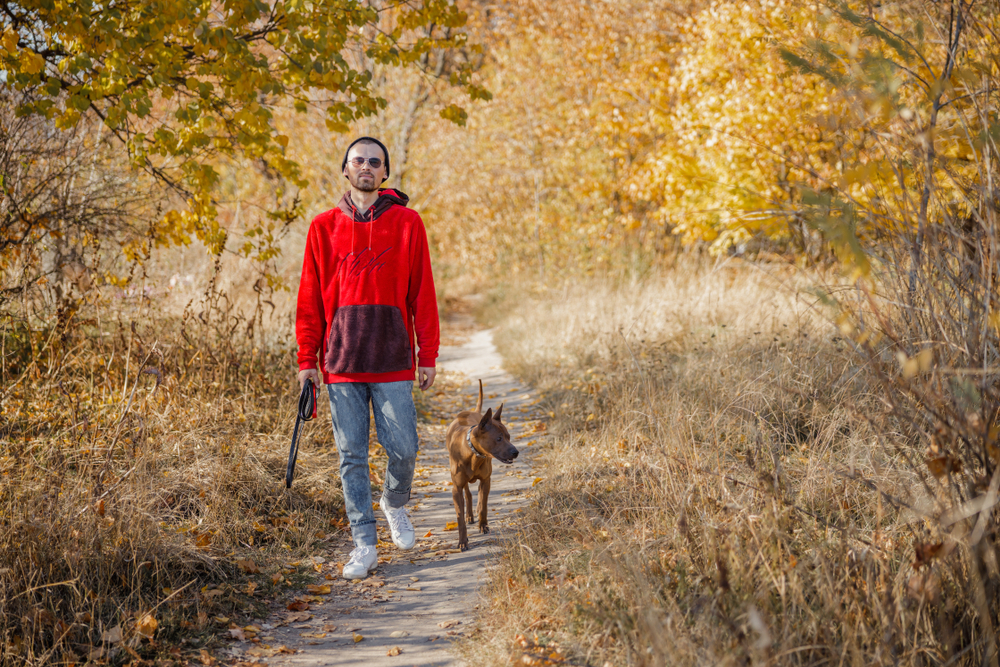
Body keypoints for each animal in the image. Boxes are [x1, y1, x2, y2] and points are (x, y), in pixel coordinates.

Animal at [448, 380, 520, 552]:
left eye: (509, 437)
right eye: (499, 438)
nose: (516, 452)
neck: (473, 453)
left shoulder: (486, 480)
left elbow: (484, 505)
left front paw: (483, 525)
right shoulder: (456, 488)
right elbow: (460, 518)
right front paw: (463, 541)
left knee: (479, 497)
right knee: (468, 493)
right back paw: (469, 515)